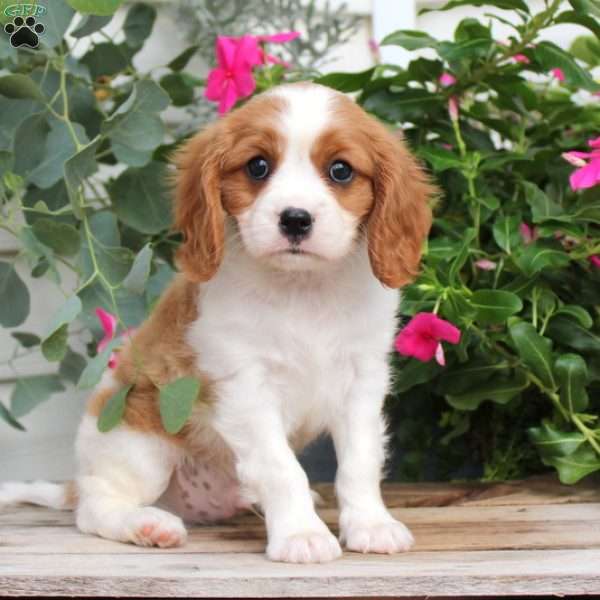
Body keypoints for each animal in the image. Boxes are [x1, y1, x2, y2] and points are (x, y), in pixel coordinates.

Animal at [0, 83, 432, 564]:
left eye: (341, 171)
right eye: (258, 166)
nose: (295, 218)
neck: (302, 288)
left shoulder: (362, 380)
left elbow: (359, 462)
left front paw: (371, 525)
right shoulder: (245, 385)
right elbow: (281, 468)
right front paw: (301, 534)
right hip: (138, 439)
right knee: (95, 508)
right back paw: (146, 524)